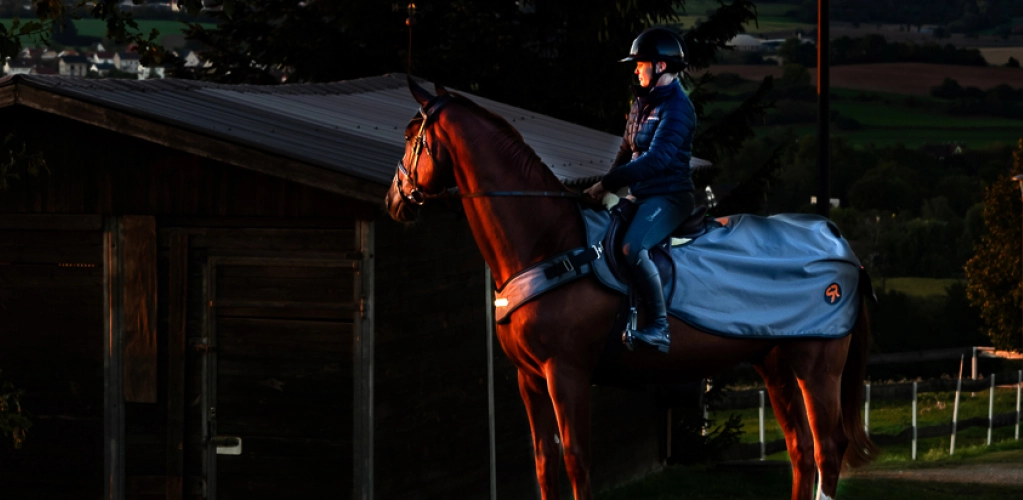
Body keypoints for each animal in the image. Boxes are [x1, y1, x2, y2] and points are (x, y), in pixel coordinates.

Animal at [385, 78, 877, 500]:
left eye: (411, 135)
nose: (394, 200)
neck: (549, 243)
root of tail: (840, 244)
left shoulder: (566, 374)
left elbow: (576, 462)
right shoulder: (531, 378)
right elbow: (544, 464)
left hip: (817, 367)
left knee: (826, 450)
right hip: (775, 364)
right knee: (800, 451)